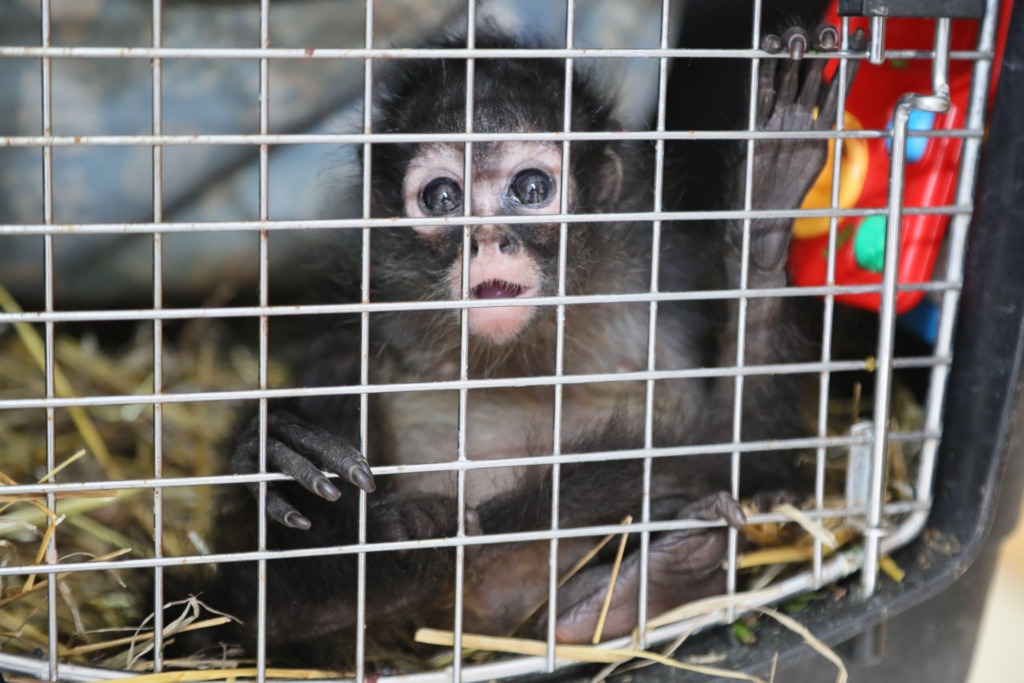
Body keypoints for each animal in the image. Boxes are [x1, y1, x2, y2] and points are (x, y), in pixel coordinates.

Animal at [166, 19, 867, 670]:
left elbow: (751, 460)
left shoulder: (667, 297)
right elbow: (264, 615)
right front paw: (271, 450)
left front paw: (765, 215)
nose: (487, 238)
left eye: (530, 190)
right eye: (442, 197)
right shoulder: (354, 333)